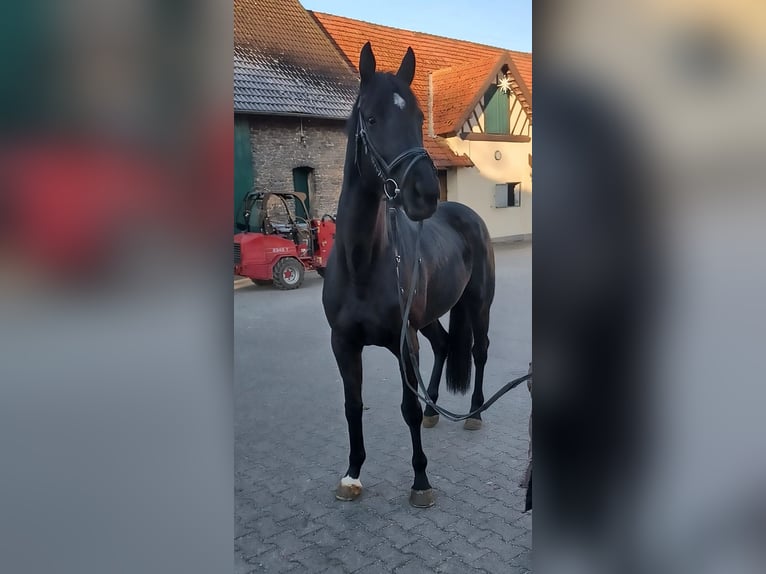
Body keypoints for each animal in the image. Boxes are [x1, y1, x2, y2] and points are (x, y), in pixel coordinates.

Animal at [320, 44, 496, 508]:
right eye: (371, 118)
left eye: (419, 118)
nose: (426, 193)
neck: (363, 263)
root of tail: (467, 213)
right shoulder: (344, 344)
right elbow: (352, 406)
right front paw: (352, 475)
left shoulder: (403, 344)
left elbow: (407, 409)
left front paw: (420, 480)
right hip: (428, 319)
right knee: (445, 344)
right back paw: (437, 410)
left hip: (478, 305)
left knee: (479, 350)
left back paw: (473, 411)